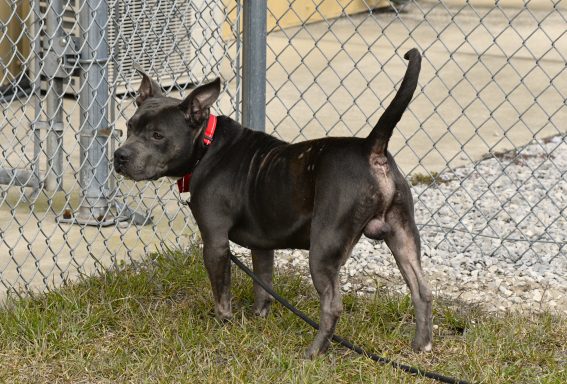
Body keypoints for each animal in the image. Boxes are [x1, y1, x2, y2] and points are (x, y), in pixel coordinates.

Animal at [116, 48, 434, 360]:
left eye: (157, 135)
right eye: (129, 127)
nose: (120, 156)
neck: (205, 146)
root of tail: (371, 147)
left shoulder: (215, 242)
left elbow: (222, 293)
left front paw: (223, 324)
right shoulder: (262, 245)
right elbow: (263, 285)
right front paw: (259, 318)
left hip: (324, 248)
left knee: (332, 306)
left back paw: (314, 353)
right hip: (403, 236)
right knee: (421, 290)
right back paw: (422, 346)